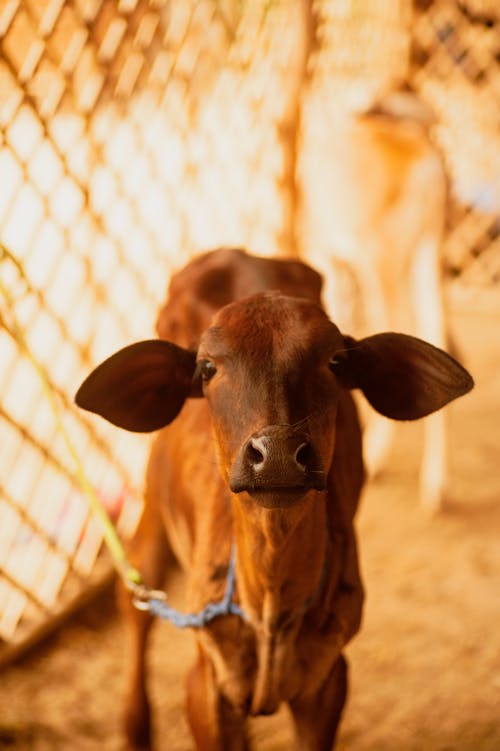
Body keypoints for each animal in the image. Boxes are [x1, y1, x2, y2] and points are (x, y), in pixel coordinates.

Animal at [75, 250, 472, 748]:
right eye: (206, 368)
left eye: (336, 361)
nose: (278, 454)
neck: (270, 607)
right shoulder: (205, 684)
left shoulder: (328, 681)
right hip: (151, 493)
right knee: (135, 594)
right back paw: (135, 727)